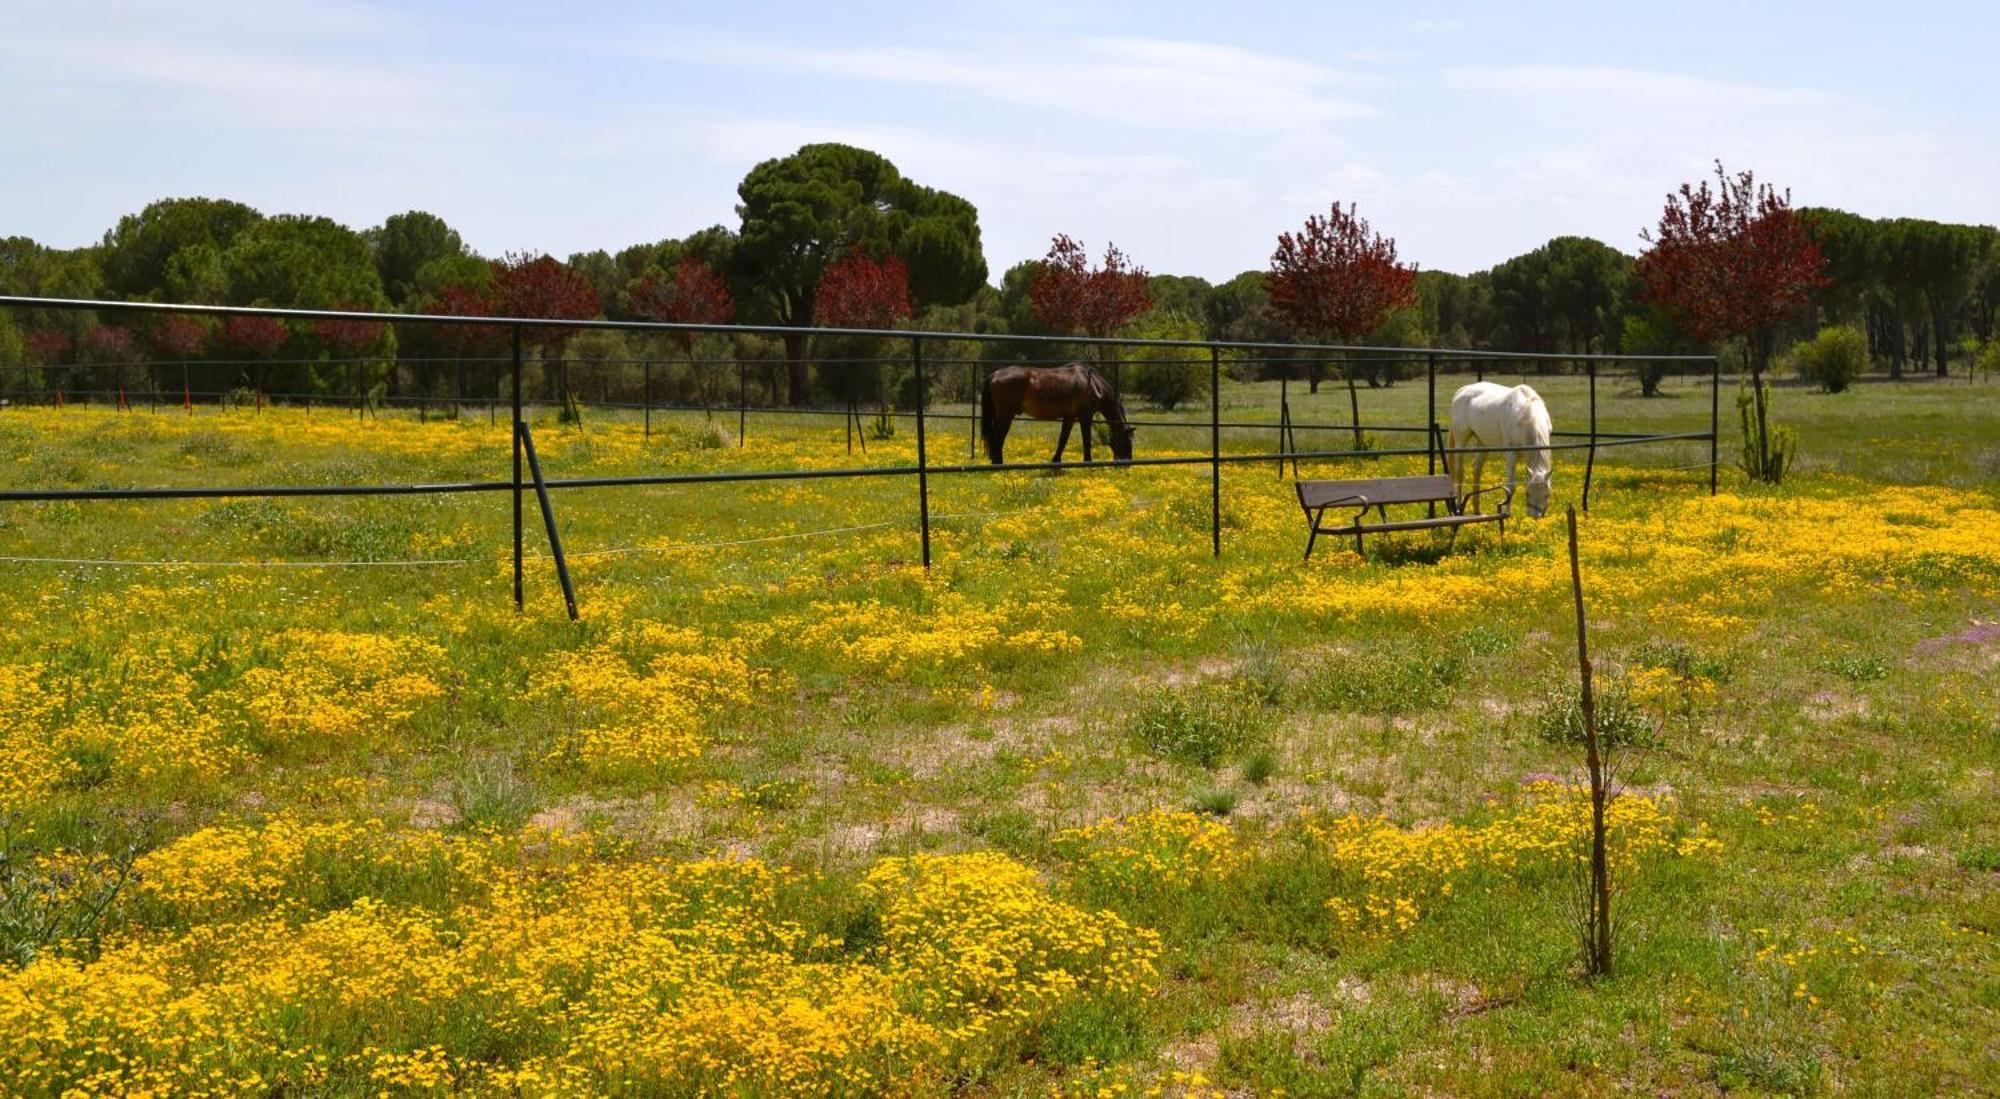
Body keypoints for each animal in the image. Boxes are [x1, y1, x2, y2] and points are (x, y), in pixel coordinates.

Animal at [980, 361, 1136, 465]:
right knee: (997, 438)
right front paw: (1088, 463)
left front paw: (1056, 461)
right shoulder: (1085, 417)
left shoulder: (1069, 417)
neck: (1093, 383)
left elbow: (1063, 440)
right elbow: (1086, 441)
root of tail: (994, 374)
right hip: (1005, 415)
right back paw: (998, 465)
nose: (1126, 464)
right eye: (1128, 442)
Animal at [1448, 385, 1552, 523]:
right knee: (1460, 473)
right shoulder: (1511, 454)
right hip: (1461, 440)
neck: (1526, 413)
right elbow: (1510, 488)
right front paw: (1507, 514)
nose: (1535, 517)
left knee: (1476, 470)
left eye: (1547, 495)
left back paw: (1477, 510)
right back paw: (1459, 509)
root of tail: (1461, 391)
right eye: (1527, 493)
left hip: (1483, 443)